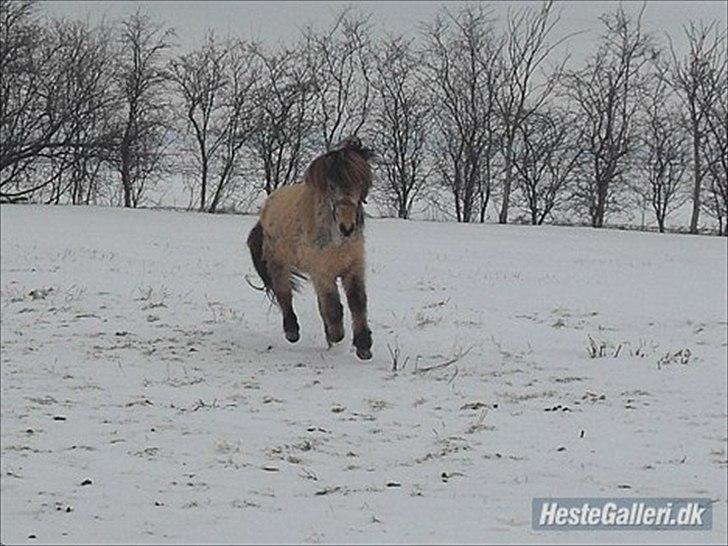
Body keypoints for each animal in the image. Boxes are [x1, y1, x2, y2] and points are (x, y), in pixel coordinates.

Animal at [249, 136, 376, 360]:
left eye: (359, 182)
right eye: (332, 186)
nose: (347, 227)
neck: (336, 240)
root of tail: (267, 206)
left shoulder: (353, 268)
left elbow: (357, 302)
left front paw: (363, 346)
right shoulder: (322, 272)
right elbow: (333, 307)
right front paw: (336, 334)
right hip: (278, 264)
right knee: (284, 294)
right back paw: (292, 332)